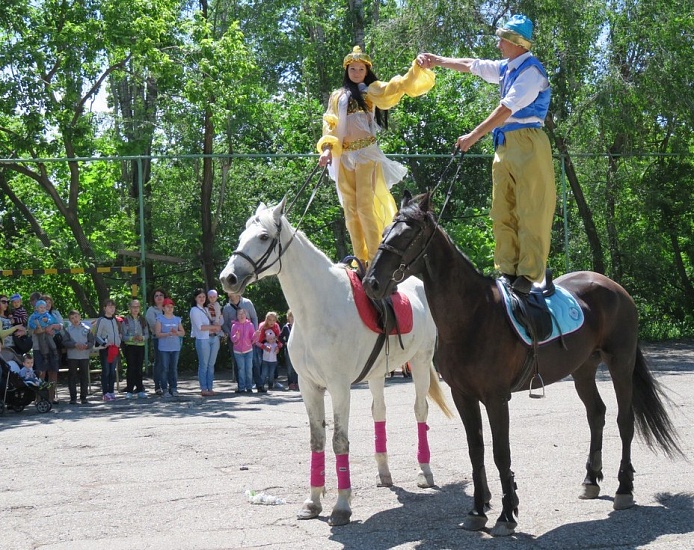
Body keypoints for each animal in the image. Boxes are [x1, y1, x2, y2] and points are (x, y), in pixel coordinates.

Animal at [220, 201, 454, 528]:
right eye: (243, 235)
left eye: (264, 237)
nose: (228, 278)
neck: (317, 310)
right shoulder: (308, 387)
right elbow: (317, 440)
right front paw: (312, 502)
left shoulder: (339, 387)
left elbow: (339, 441)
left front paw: (342, 506)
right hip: (377, 374)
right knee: (379, 412)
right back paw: (384, 474)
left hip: (420, 362)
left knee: (421, 410)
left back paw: (425, 471)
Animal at [364, 193, 684, 540]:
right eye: (385, 232)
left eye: (408, 235)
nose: (371, 283)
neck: (473, 315)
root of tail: (615, 288)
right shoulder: (464, 396)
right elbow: (476, 451)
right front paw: (478, 511)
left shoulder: (495, 398)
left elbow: (500, 453)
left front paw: (507, 515)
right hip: (583, 368)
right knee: (596, 414)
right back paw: (591, 481)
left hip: (620, 363)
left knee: (624, 421)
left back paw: (624, 490)